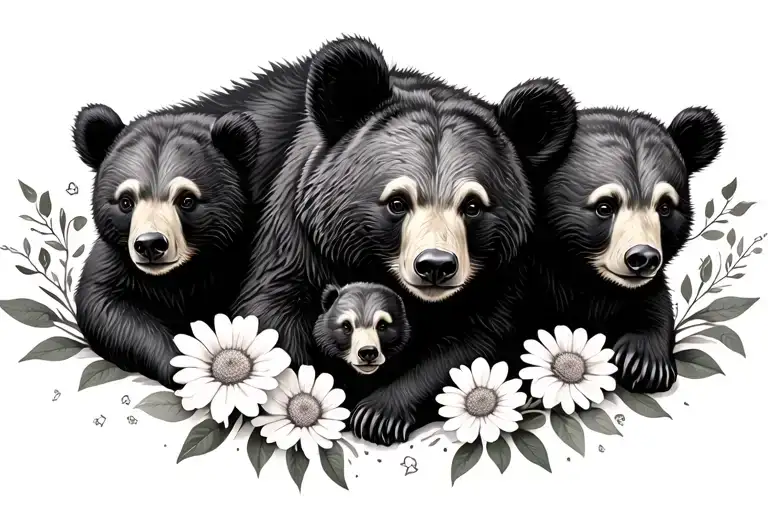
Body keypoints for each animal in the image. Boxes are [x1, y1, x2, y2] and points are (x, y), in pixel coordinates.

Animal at [72, 107, 263, 390]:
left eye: (187, 199)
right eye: (126, 201)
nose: (150, 244)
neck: (178, 277)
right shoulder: (114, 262)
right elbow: (107, 309)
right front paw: (182, 364)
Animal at [512, 106, 724, 400]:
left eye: (665, 207)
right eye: (605, 206)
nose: (643, 257)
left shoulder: (640, 291)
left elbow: (653, 309)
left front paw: (644, 364)